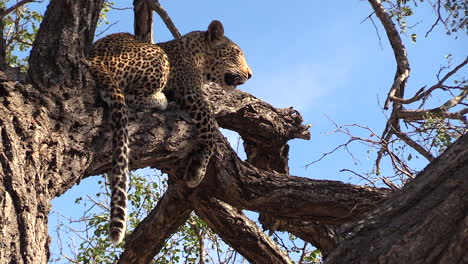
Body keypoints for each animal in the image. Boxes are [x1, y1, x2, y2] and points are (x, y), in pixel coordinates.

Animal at [89, 20, 254, 243]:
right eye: (236, 52)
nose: (250, 74)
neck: (200, 55)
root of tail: (96, 57)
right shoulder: (191, 92)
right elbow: (210, 126)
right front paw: (197, 171)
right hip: (158, 59)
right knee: (128, 95)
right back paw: (161, 99)